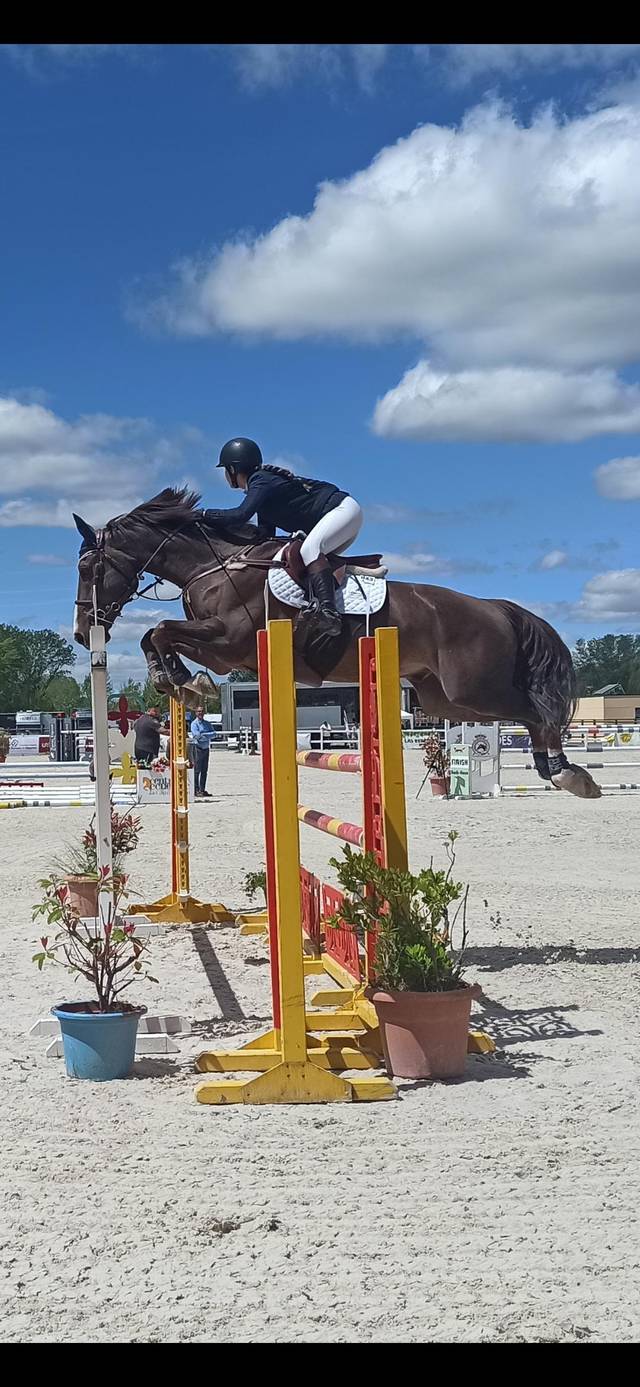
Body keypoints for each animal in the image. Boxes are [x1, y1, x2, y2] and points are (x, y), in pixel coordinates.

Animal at [72, 488, 602, 798]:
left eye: (89, 568)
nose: (82, 630)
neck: (214, 566)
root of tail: (495, 607)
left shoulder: (229, 643)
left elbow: (161, 630)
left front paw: (184, 681)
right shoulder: (223, 647)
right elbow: (155, 634)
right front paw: (176, 681)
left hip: (472, 688)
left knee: (535, 711)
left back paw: (567, 773)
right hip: (445, 698)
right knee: (526, 713)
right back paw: (554, 769)